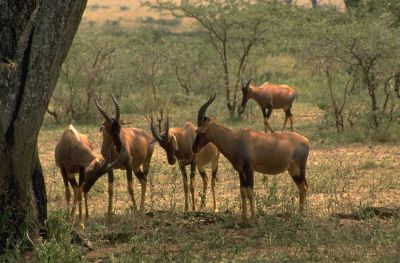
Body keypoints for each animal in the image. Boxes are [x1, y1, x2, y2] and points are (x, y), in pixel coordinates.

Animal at [192, 94, 310, 225]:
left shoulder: (249, 169)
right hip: (293, 170)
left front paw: (253, 220)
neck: (236, 138)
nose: (194, 148)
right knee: (301, 187)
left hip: (300, 168)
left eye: (201, 131)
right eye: (196, 130)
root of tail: (306, 140)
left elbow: (250, 191)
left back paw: (302, 215)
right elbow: (243, 191)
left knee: (304, 187)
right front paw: (243, 220)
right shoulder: (240, 171)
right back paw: (300, 214)